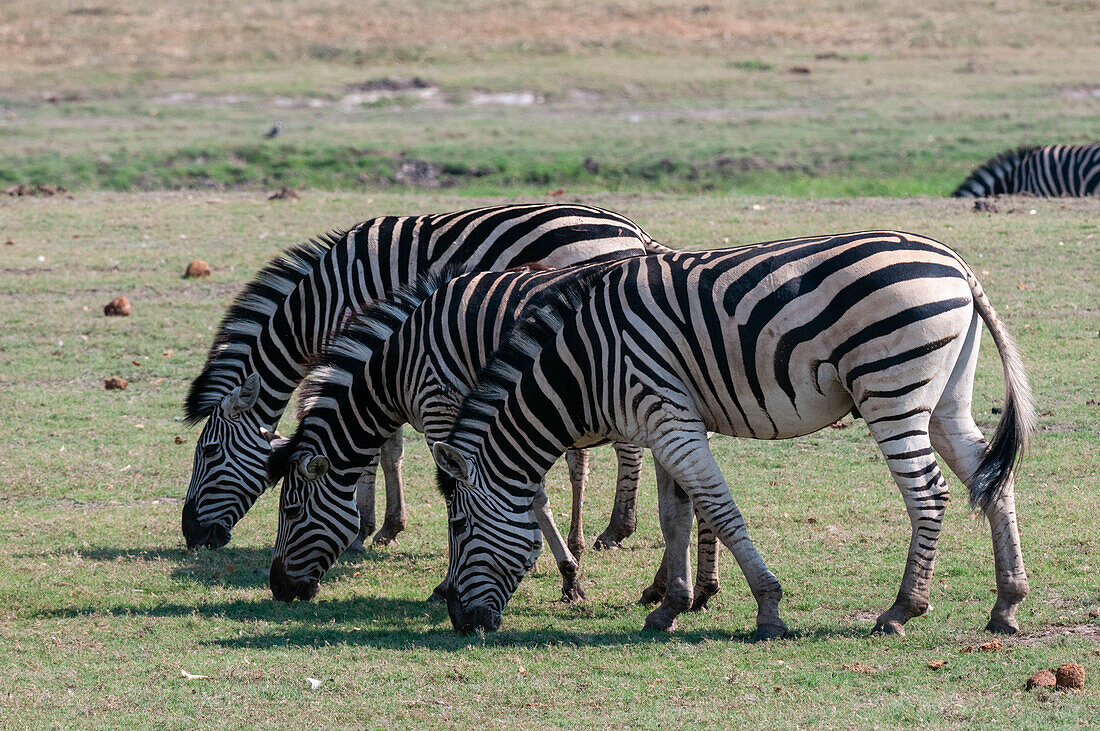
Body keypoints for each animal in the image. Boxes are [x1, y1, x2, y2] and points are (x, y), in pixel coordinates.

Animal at [178, 202, 668, 549]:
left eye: (209, 452)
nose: (192, 536)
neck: (320, 303)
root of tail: (634, 230)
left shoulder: (368, 349)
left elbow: (377, 449)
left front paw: (368, 527)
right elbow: (389, 448)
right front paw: (385, 525)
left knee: (627, 446)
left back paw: (617, 528)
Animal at [261, 267, 717, 602]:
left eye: (291, 512)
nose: (278, 589)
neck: (400, 365)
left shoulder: (443, 412)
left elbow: (457, 501)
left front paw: (446, 585)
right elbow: (532, 499)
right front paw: (568, 576)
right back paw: (679, 587)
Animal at [433, 229, 1034, 637]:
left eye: (459, 525)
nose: (459, 620)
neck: (586, 361)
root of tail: (955, 263)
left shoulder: (669, 415)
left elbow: (719, 510)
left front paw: (767, 609)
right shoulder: (661, 422)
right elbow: (675, 515)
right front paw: (670, 606)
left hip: (891, 392)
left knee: (929, 495)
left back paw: (902, 610)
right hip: (945, 399)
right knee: (991, 479)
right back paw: (1006, 604)